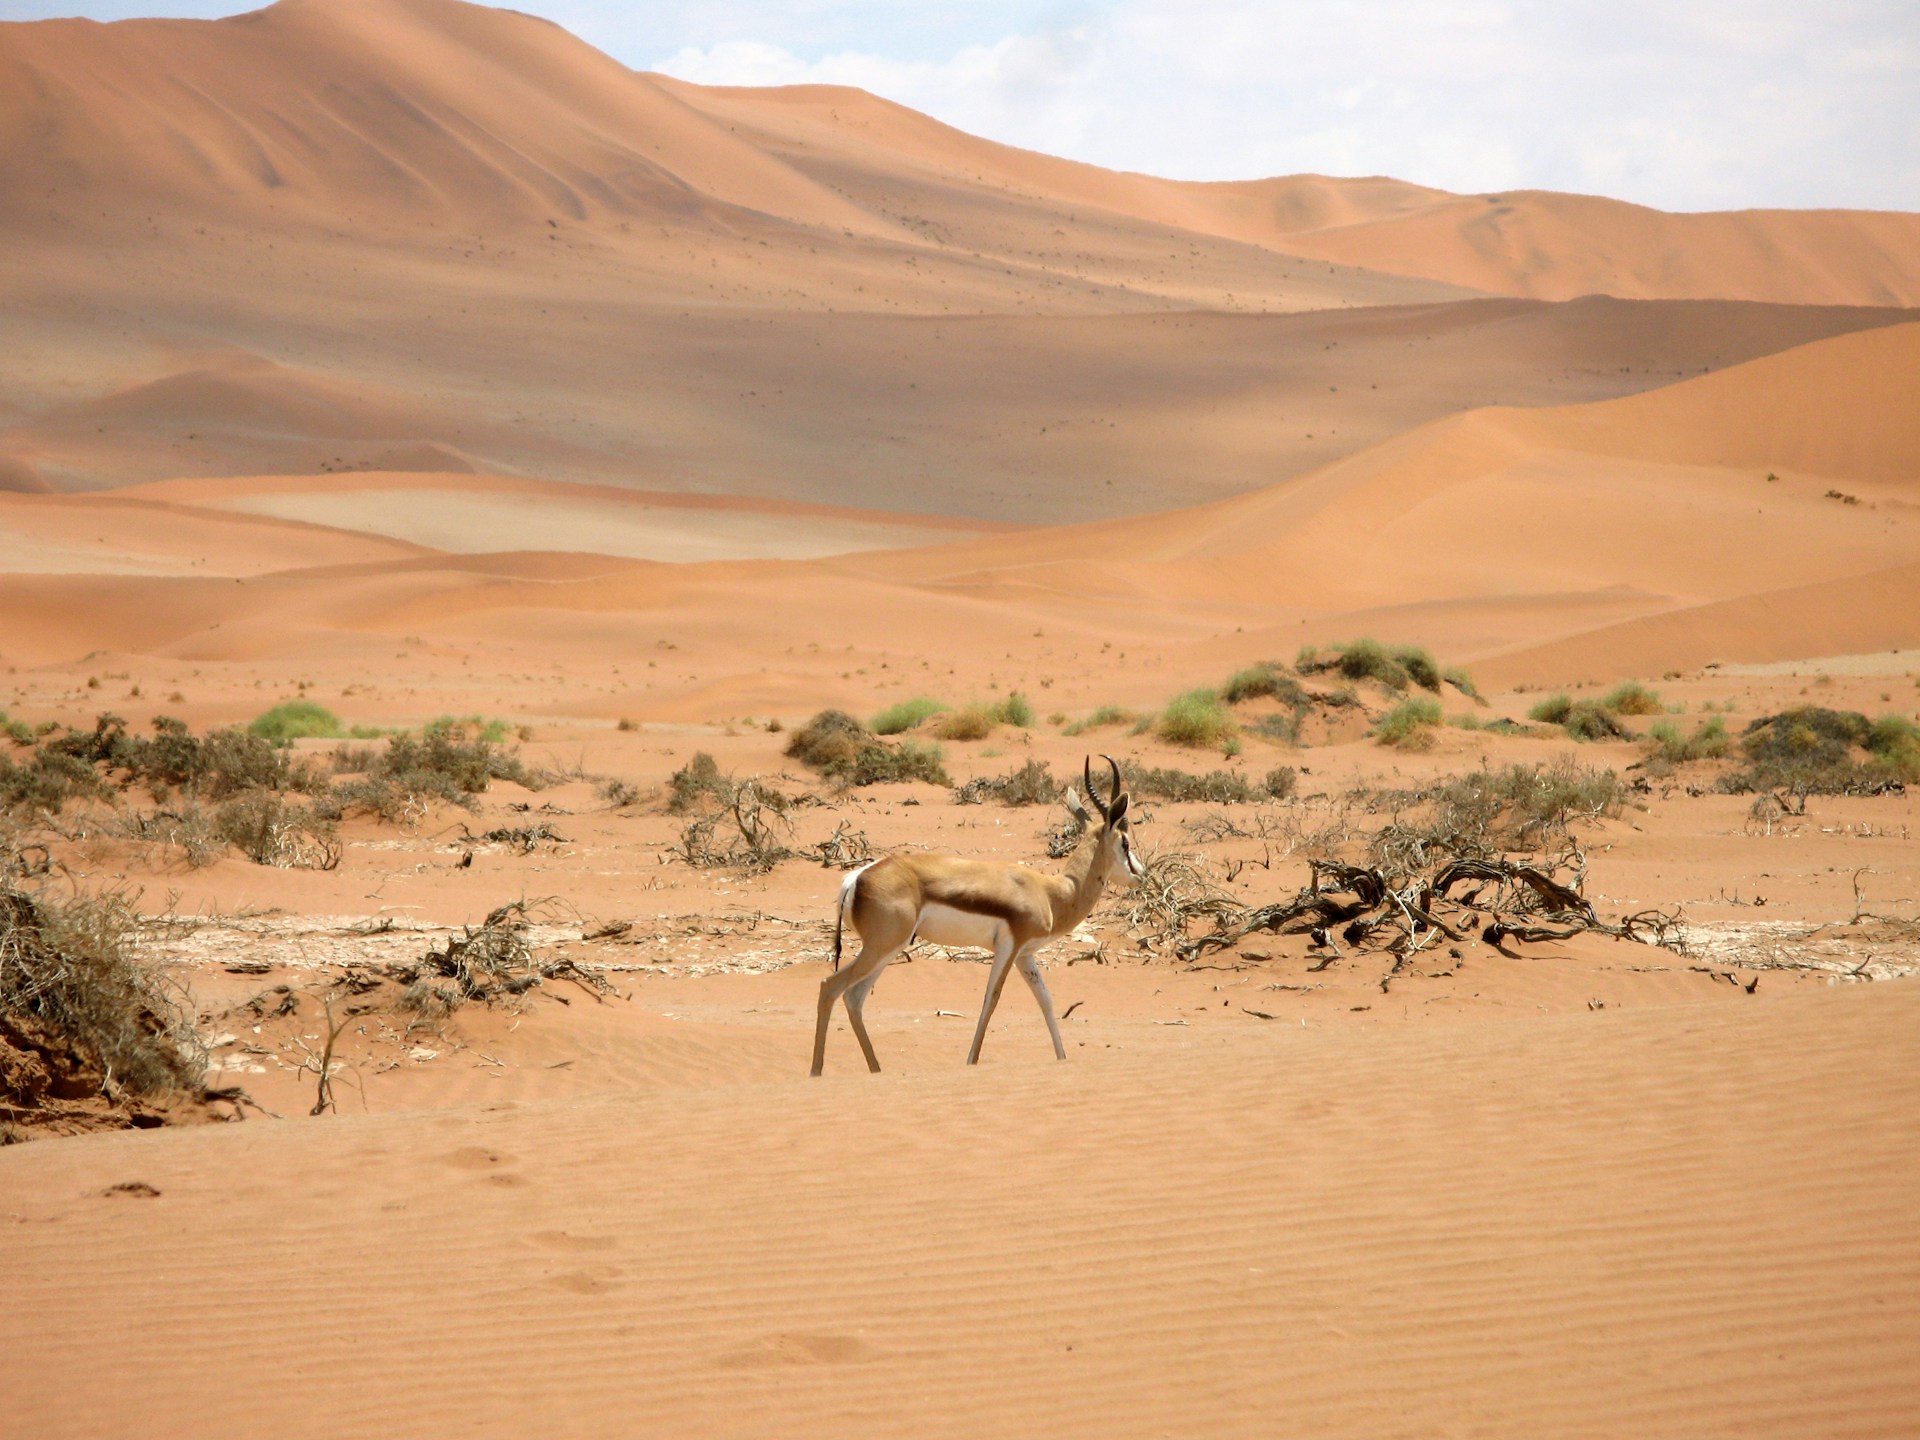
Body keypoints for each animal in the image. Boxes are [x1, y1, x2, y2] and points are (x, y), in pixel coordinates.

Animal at [806, 756, 1136, 1075]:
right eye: (1125, 842)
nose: (1140, 874)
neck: (1051, 892)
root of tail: (856, 878)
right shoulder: (1009, 947)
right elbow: (992, 999)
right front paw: (971, 1061)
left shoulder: (1024, 955)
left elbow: (1045, 1000)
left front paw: (1062, 1058)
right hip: (882, 947)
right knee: (829, 987)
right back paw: (817, 1072)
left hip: (887, 950)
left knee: (853, 997)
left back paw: (875, 1069)